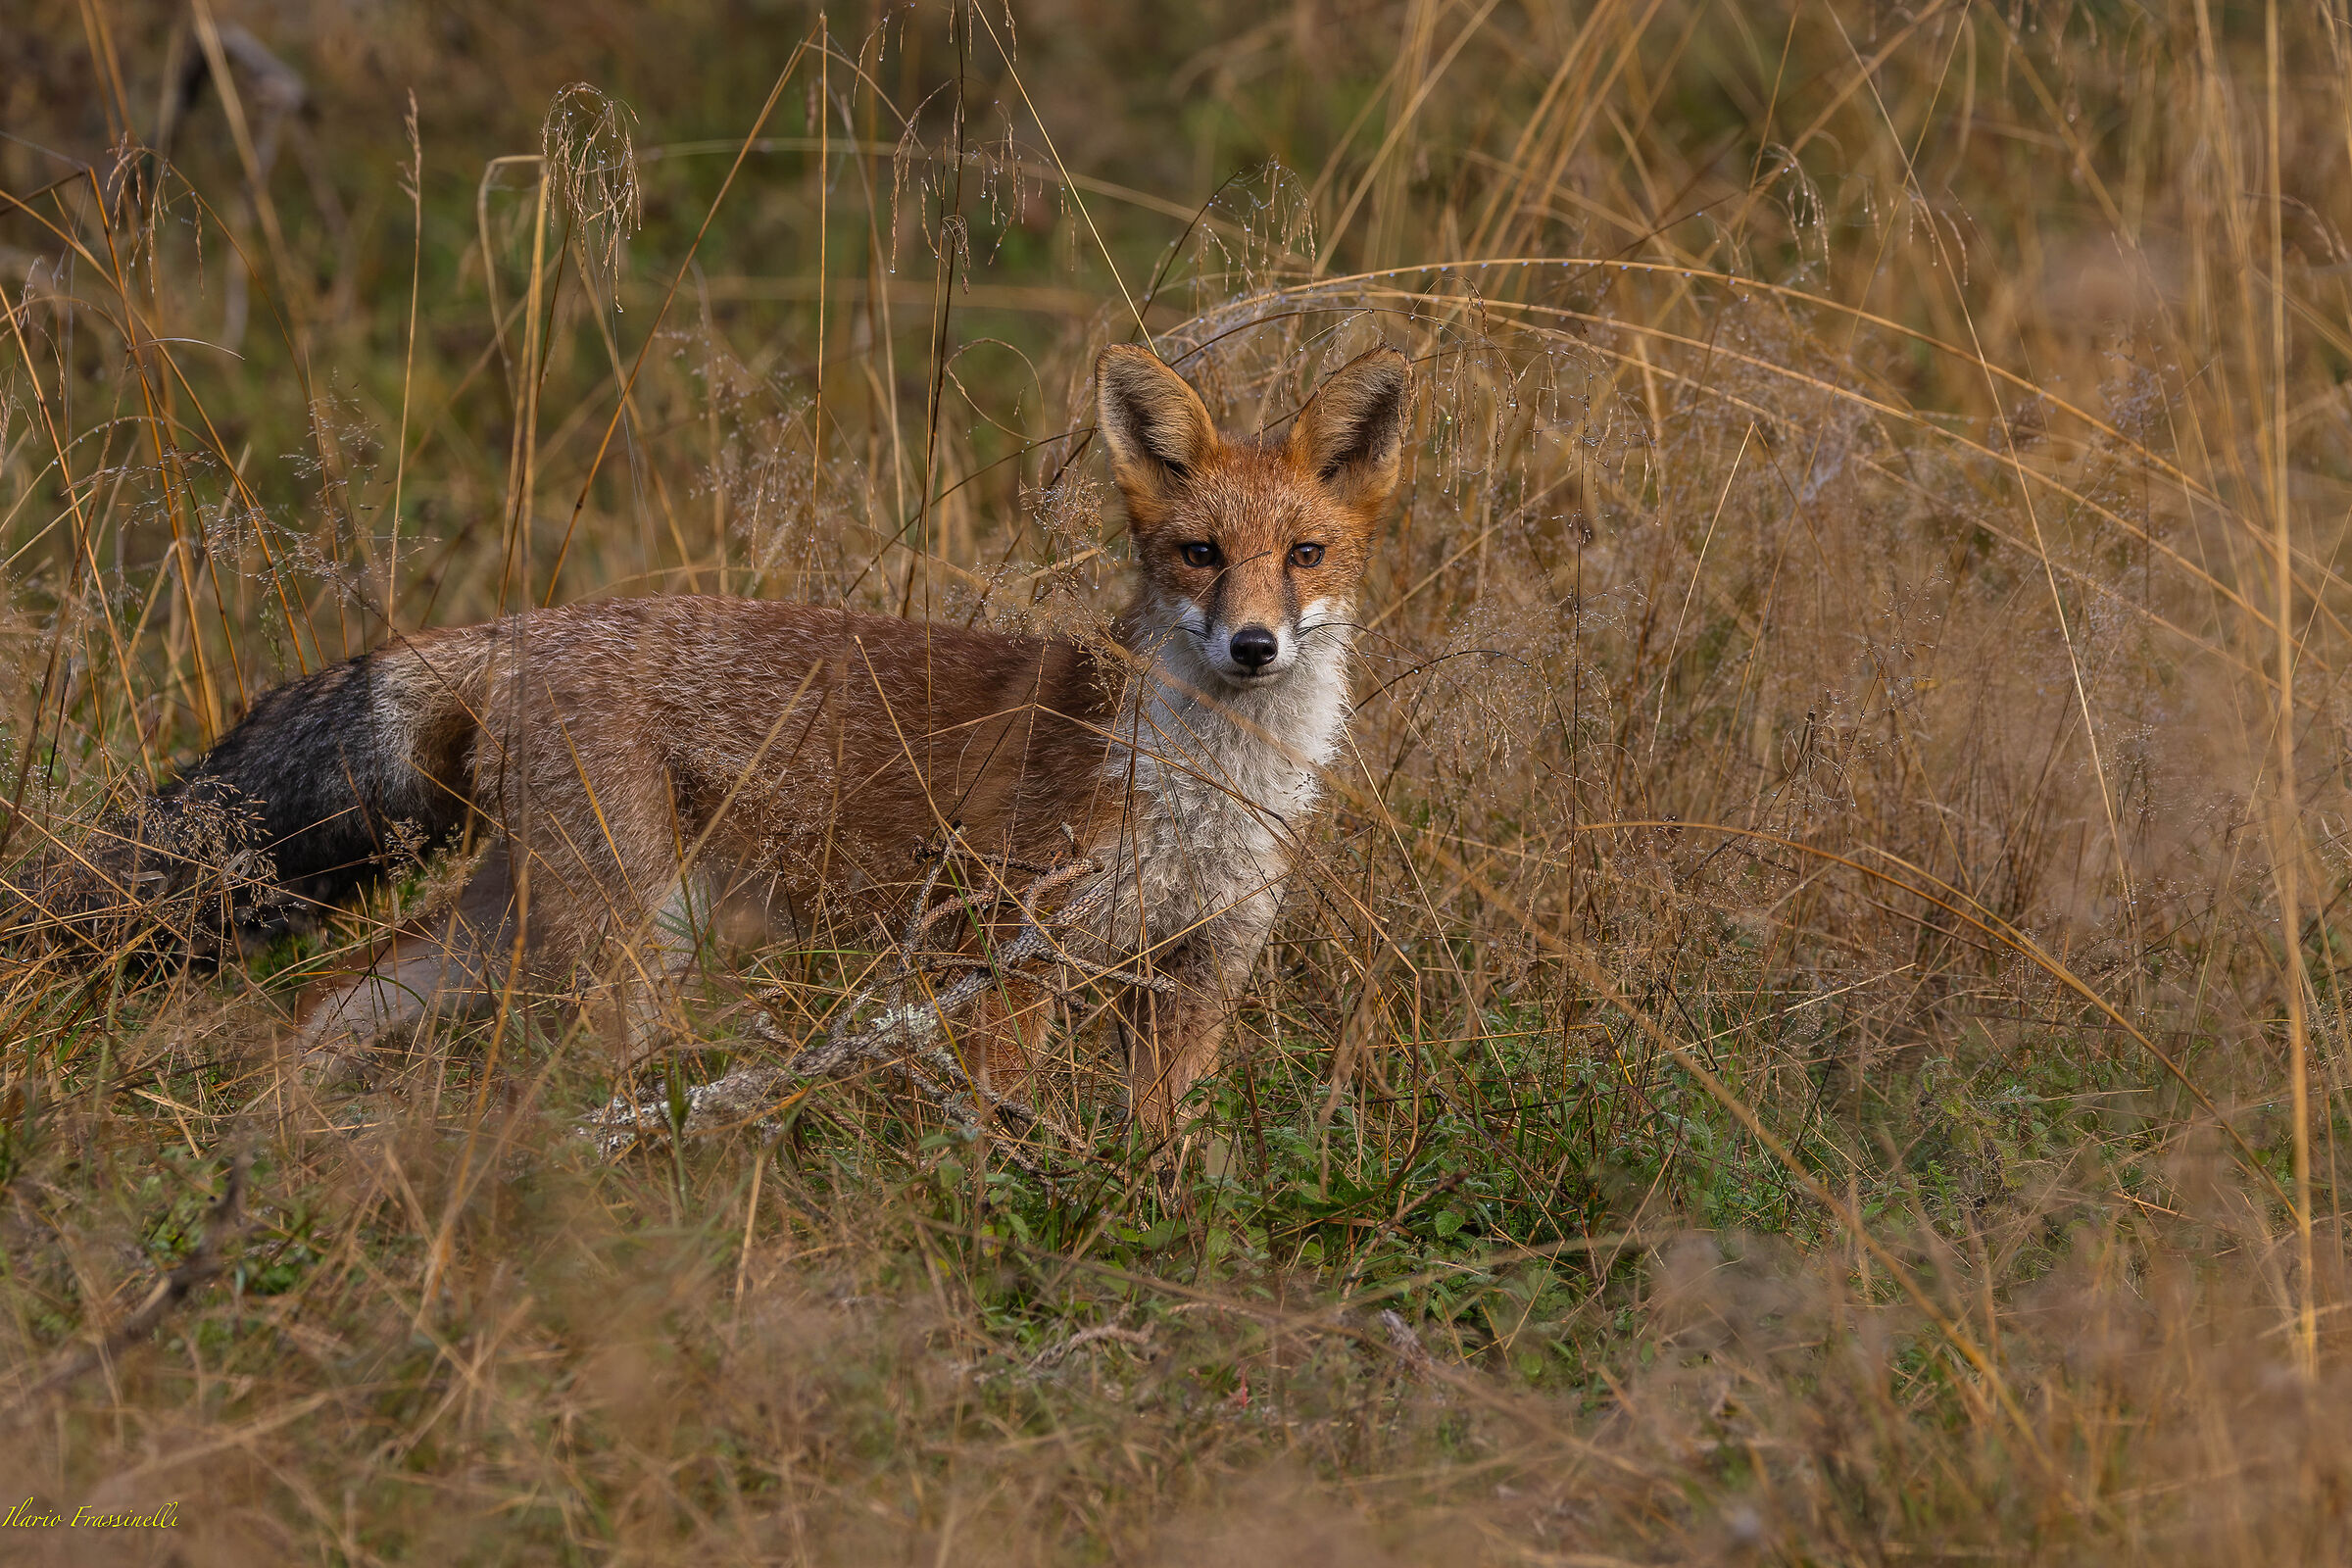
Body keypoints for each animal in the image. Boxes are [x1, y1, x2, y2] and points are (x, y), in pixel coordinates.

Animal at [67, 344, 1410, 1137]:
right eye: (1198, 554)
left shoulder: (1203, 968)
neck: (1204, 790)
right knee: (557, 1089)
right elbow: (994, 1127)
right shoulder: (1012, 953)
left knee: (330, 1003)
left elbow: (1161, 1147)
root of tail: (527, 626)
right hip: (626, 946)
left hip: (534, 921)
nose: (1253, 647)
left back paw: (273, 1138)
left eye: (1306, 555)